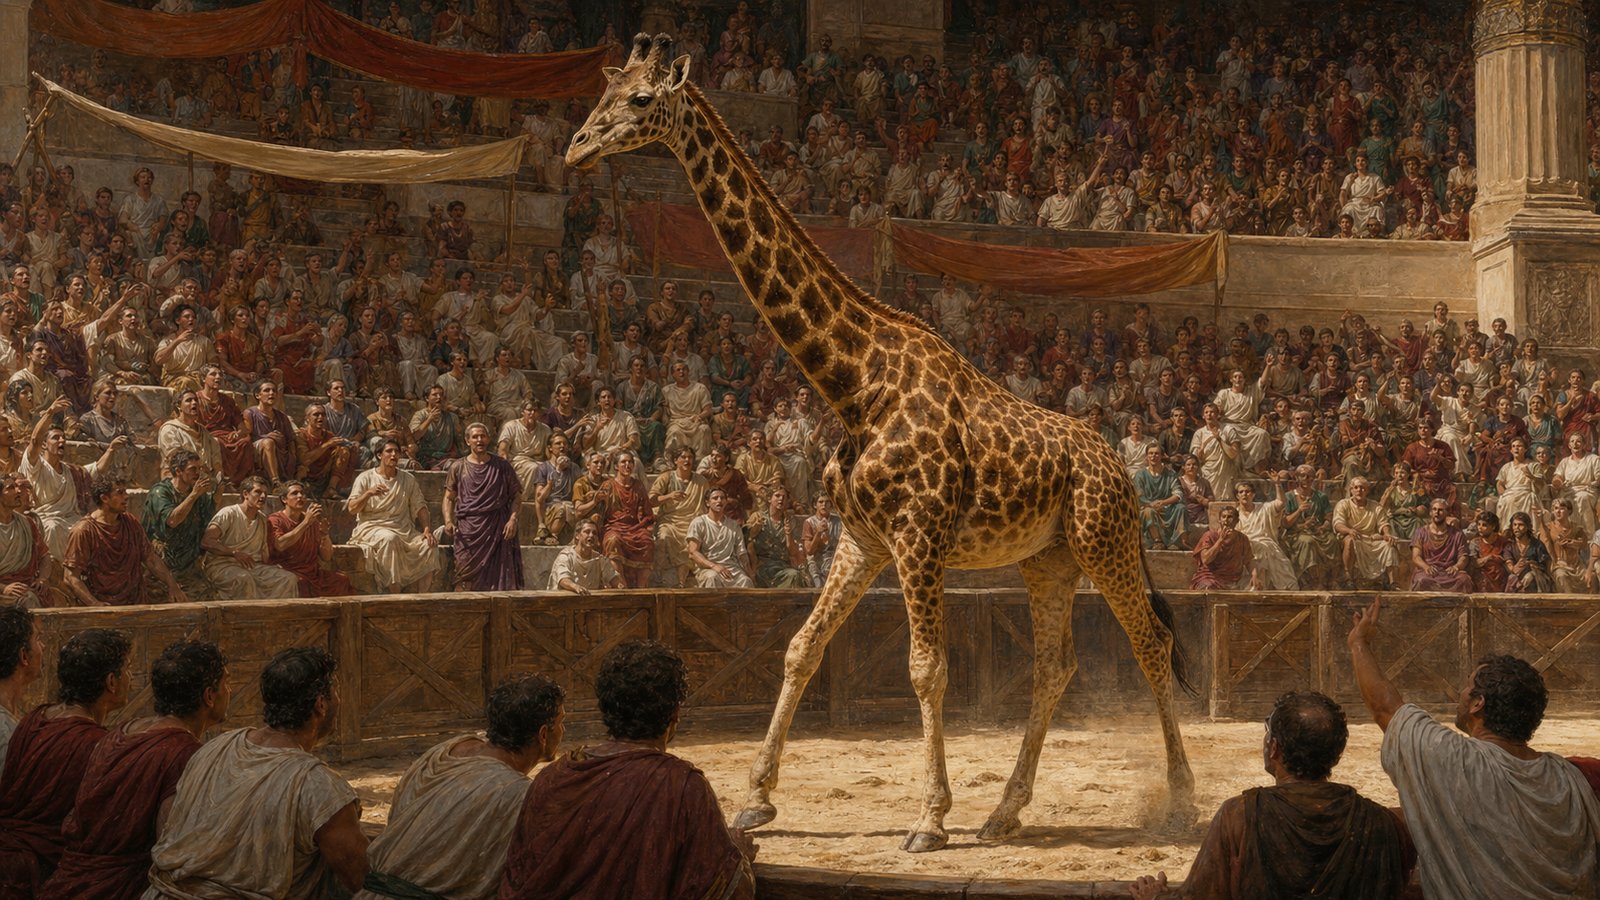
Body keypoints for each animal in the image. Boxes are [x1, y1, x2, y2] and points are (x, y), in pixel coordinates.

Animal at [567, 34, 1195, 853]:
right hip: (1047, 559)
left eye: (640, 101)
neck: (854, 383)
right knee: (1054, 667)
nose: (577, 146)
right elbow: (801, 647)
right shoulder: (862, 538)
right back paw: (1005, 812)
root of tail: (1121, 462)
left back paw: (1180, 801)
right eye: (603, 93)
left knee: (1151, 642)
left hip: (1102, 540)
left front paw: (929, 818)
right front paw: (756, 801)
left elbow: (927, 667)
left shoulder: (917, 535)